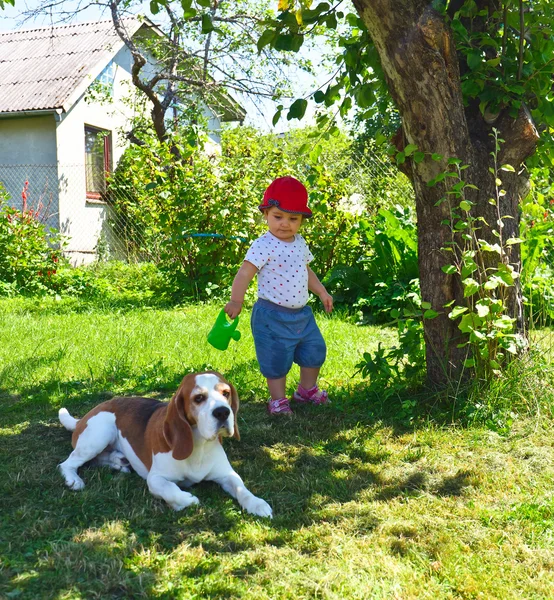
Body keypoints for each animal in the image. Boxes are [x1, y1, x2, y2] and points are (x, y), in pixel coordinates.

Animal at [57, 370, 272, 516]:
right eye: (199, 398)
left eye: (226, 393)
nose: (222, 412)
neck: (199, 445)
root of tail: (83, 419)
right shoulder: (156, 479)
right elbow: (171, 490)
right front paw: (185, 500)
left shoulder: (227, 474)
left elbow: (241, 488)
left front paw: (256, 503)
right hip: (99, 434)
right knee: (67, 463)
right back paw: (74, 480)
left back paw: (119, 461)